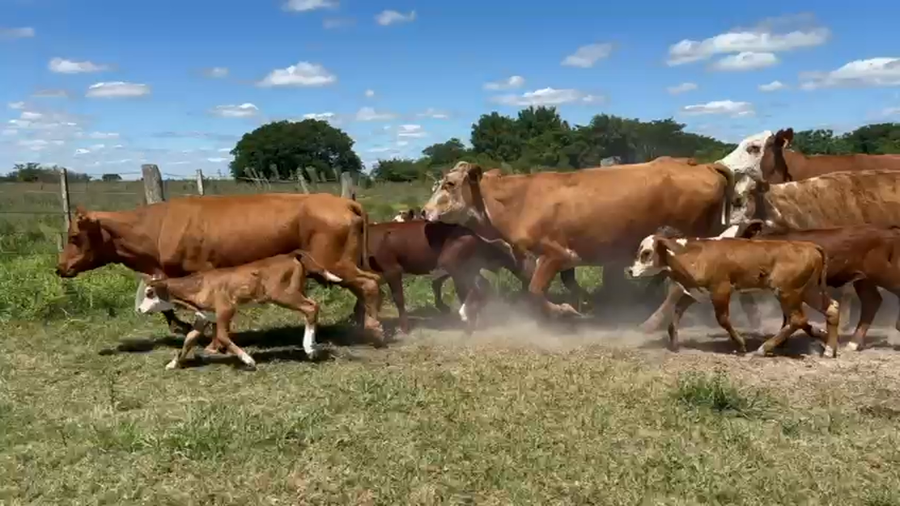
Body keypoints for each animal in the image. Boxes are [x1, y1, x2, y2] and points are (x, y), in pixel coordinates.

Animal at [55, 193, 385, 344]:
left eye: (73, 237)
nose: (59, 267)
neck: (157, 227)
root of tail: (341, 201)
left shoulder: (198, 272)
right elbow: (165, 305)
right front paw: (182, 326)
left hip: (336, 262)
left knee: (369, 284)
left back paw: (373, 328)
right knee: (368, 284)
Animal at [137, 249, 341, 369]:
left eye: (149, 292)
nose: (139, 309)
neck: (198, 286)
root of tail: (291, 255)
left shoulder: (226, 310)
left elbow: (222, 336)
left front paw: (248, 360)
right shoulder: (203, 316)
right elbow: (189, 340)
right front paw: (173, 363)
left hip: (282, 294)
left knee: (311, 307)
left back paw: (309, 349)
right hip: (296, 291)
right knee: (312, 307)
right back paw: (313, 346)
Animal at [421, 159, 735, 322]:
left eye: (449, 184)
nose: (423, 211)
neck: (519, 200)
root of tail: (701, 164)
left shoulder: (555, 254)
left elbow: (535, 290)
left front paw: (564, 311)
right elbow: (563, 284)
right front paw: (586, 304)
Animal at [625, 227, 840, 358]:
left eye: (646, 253)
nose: (629, 270)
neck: (695, 254)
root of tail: (810, 246)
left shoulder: (720, 289)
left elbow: (722, 319)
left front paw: (741, 345)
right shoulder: (695, 293)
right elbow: (675, 316)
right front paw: (675, 344)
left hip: (788, 291)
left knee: (797, 319)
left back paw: (762, 349)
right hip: (809, 290)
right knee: (831, 309)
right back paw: (829, 349)